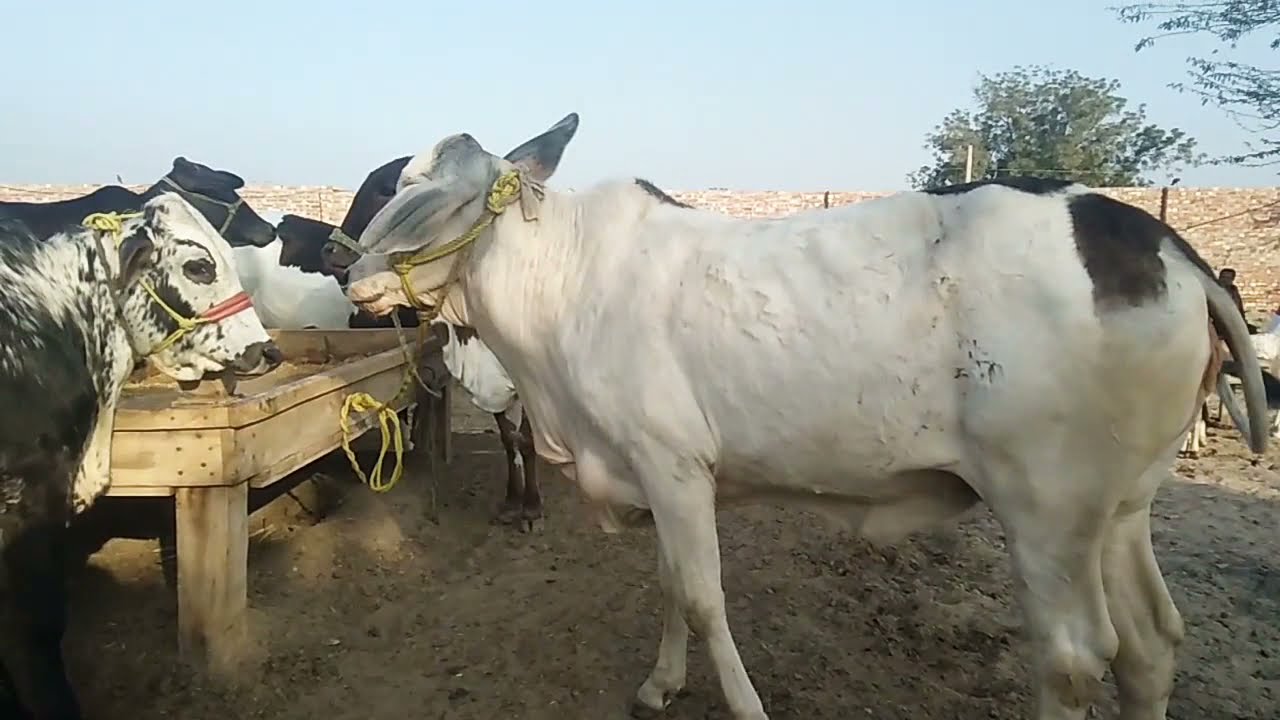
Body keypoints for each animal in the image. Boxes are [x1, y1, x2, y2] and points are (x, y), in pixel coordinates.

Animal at [334, 112, 1269, 720]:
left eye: (433, 200)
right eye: (395, 186)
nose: (353, 275)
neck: (562, 283)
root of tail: (1162, 245)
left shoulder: (672, 465)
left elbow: (704, 597)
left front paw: (741, 703)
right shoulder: (661, 481)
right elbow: (671, 584)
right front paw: (661, 684)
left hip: (1048, 508)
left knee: (1075, 660)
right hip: (1120, 506)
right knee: (1150, 645)